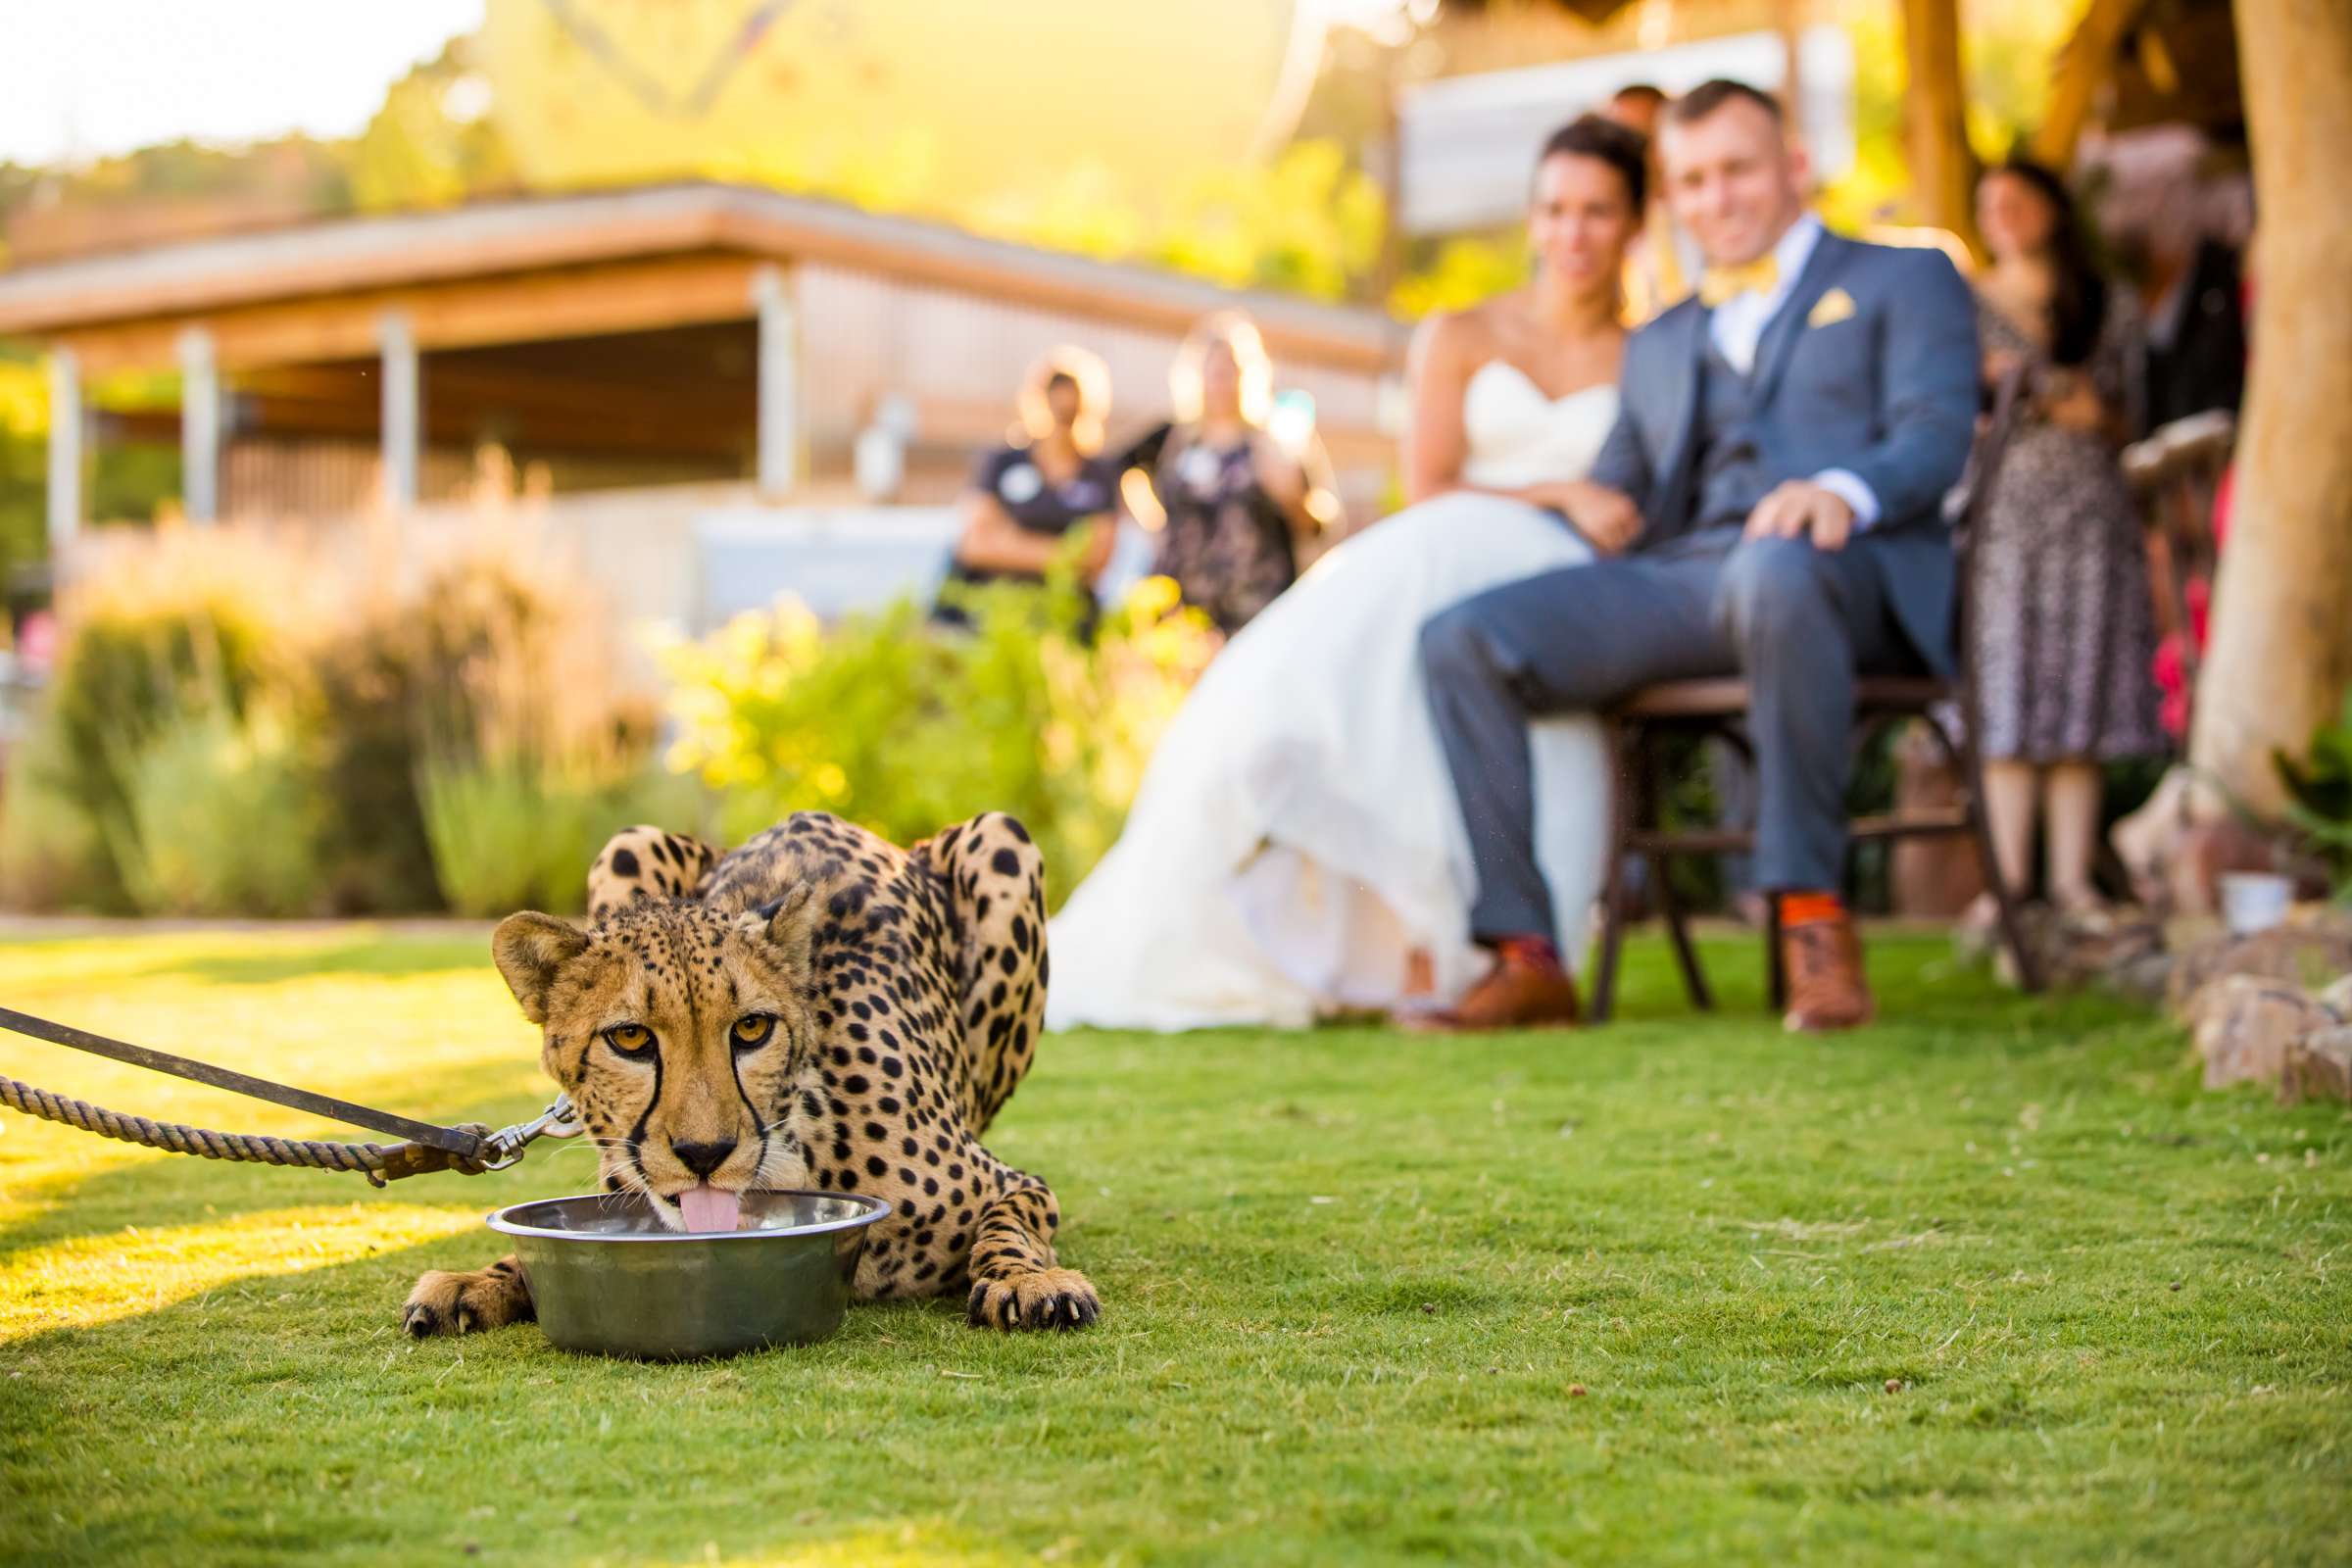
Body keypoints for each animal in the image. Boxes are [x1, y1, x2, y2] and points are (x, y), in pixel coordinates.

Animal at [404, 808, 1101, 1335]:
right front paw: (479, 1278)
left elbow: (1007, 1225)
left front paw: (1029, 1279)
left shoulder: (1015, 1184)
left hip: (1003, 838)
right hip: (629, 843)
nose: (704, 1153)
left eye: (751, 1029)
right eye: (630, 1038)